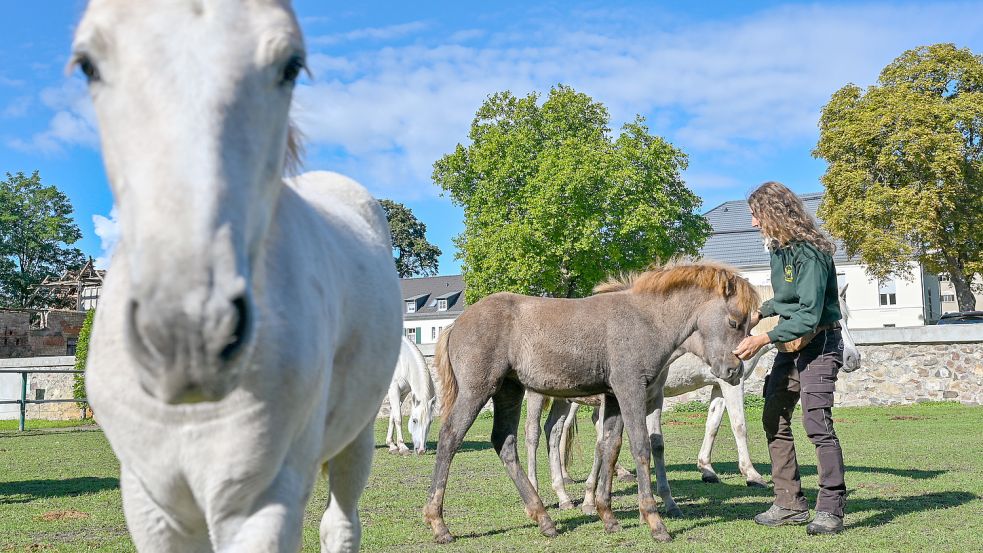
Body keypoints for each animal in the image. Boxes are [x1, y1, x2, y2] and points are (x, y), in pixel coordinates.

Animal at [73, 2, 402, 548]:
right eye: (87, 65)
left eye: (291, 66)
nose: (188, 337)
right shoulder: (151, 505)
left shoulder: (260, 506)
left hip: (356, 438)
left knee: (340, 525)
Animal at [532, 286, 860, 516]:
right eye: (831, 321)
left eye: (847, 317)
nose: (852, 359)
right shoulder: (731, 382)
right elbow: (739, 425)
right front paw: (752, 474)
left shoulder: (717, 385)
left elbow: (713, 424)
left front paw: (706, 469)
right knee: (550, 432)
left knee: (558, 430)